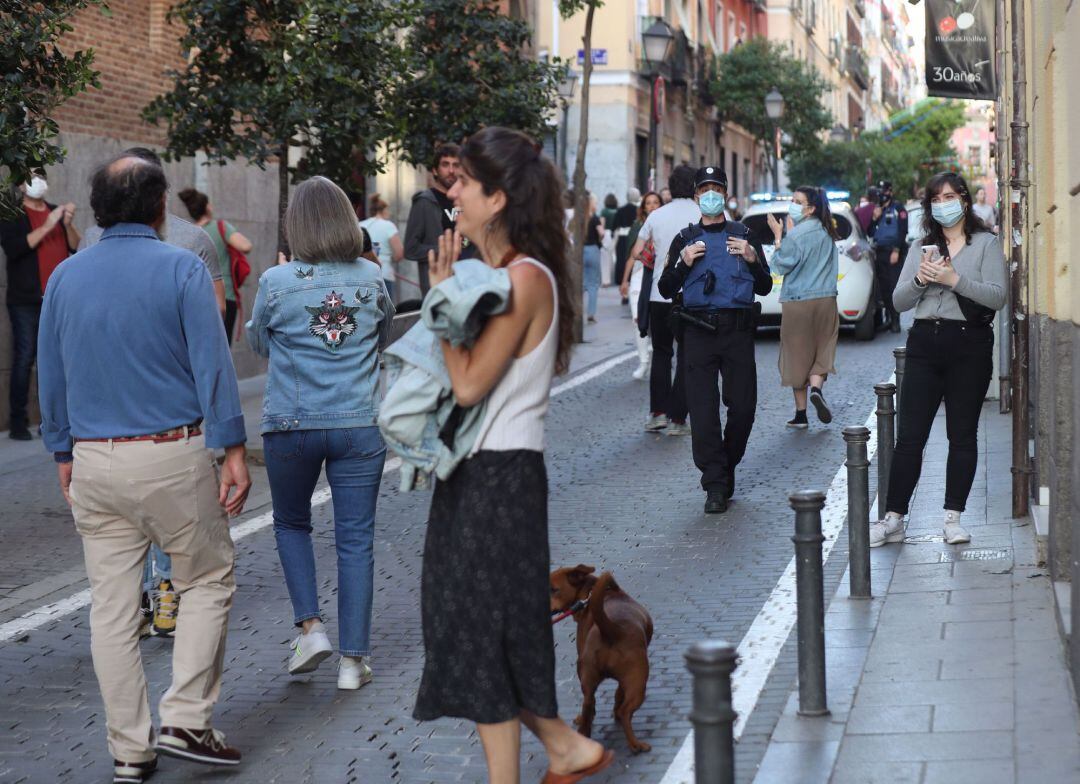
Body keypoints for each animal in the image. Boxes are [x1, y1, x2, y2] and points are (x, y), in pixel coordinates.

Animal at [552, 565, 652, 755]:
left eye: (553, 589)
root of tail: (613, 629)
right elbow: (619, 692)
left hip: (593, 675)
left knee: (590, 703)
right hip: (638, 680)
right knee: (623, 711)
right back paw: (634, 743)